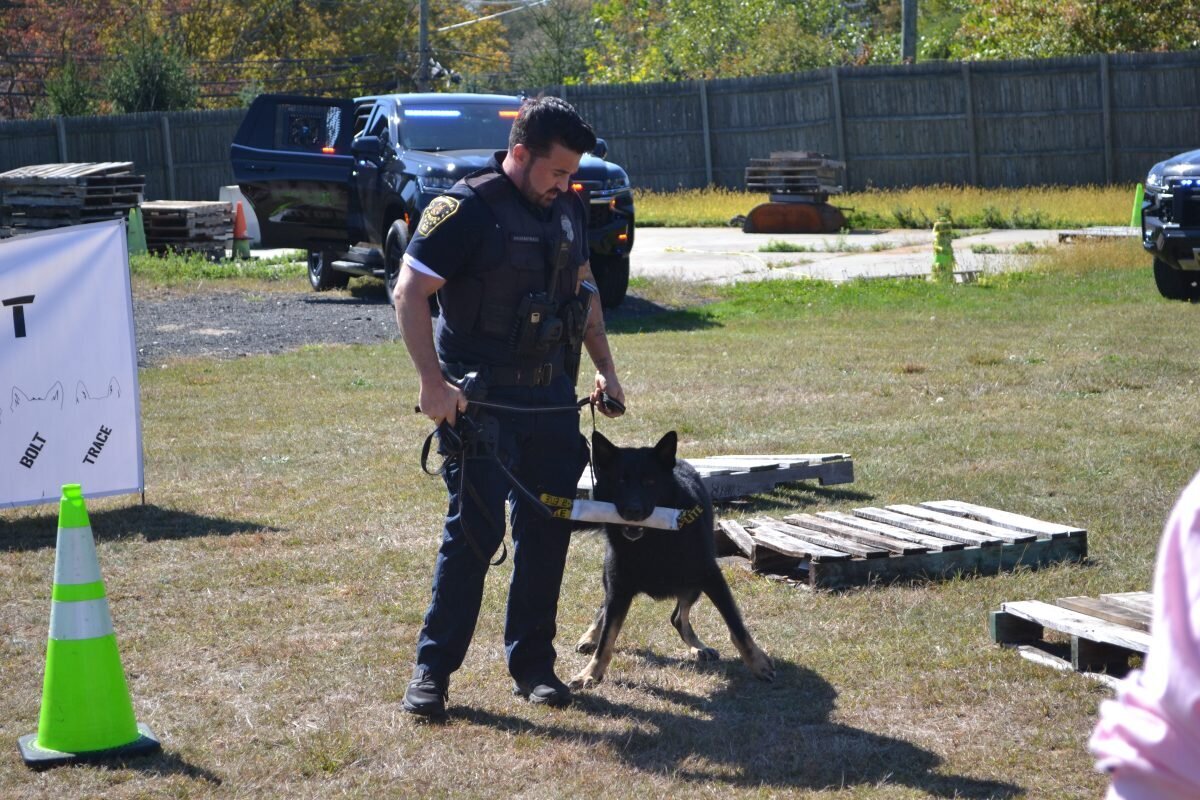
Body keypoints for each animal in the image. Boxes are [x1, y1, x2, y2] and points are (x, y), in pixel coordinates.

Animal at [570, 430, 775, 690]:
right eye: (620, 481)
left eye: (650, 482)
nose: (633, 511)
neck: (654, 540)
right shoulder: (619, 589)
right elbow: (607, 636)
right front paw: (591, 673)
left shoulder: (712, 578)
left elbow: (737, 627)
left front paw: (758, 664)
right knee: (605, 609)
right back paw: (589, 637)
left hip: (691, 586)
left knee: (678, 618)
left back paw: (698, 647)